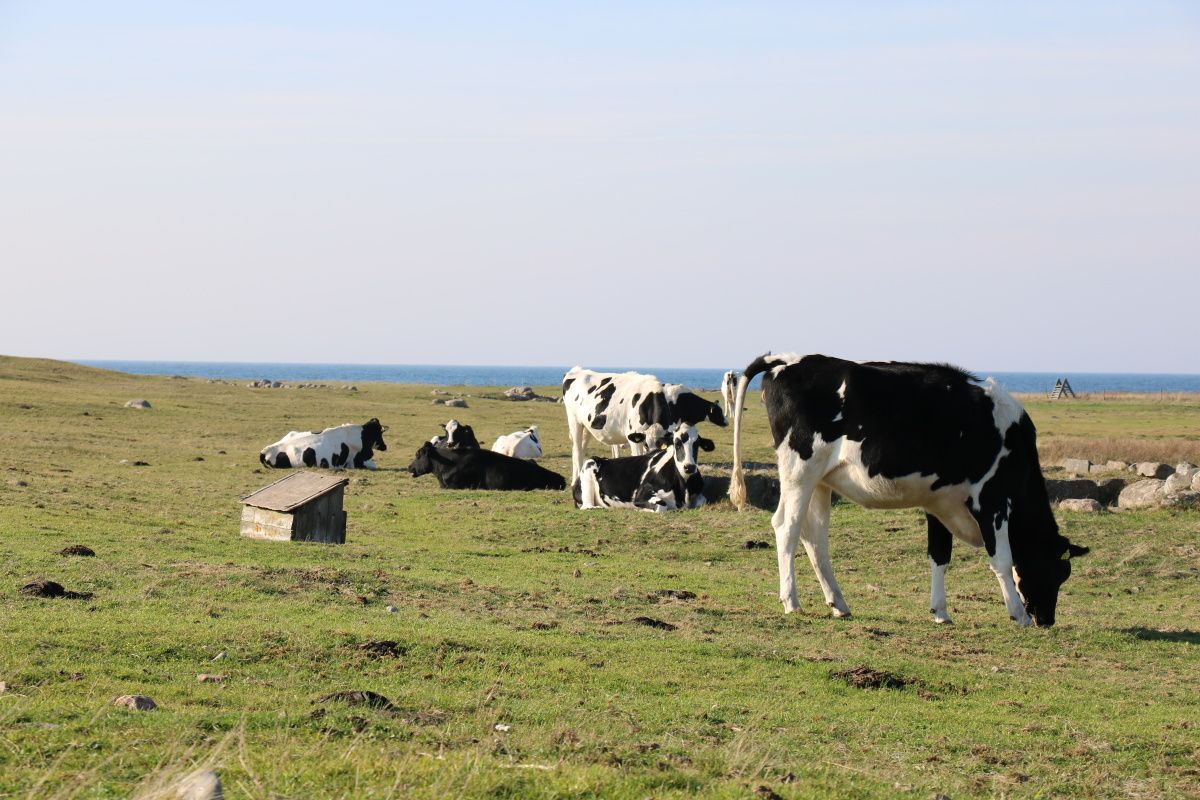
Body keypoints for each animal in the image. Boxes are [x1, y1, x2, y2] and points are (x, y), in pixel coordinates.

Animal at [559, 367, 724, 479]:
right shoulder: (635, 439)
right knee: (577, 452)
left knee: (580, 449)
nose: (726, 421)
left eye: (660, 446)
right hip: (574, 421)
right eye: (719, 412)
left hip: (587, 426)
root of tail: (576, 370)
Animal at [571, 422, 710, 510]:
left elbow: (702, 501)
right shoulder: (642, 493)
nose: (689, 467)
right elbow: (661, 506)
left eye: (697, 444)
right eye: (676, 443)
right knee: (587, 507)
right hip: (589, 466)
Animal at [724, 352, 1094, 628]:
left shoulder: (941, 501)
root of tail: (787, 359)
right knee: (786, 528)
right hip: (800, 470)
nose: (1047, 620)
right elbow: (1001, 560)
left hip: (820, 481)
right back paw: (791, 601)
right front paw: (1017, 614)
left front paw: (940, 612)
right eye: (1056, 572)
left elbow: (939, 555)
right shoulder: (991, 500)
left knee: (814, 537)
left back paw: (838, 602)